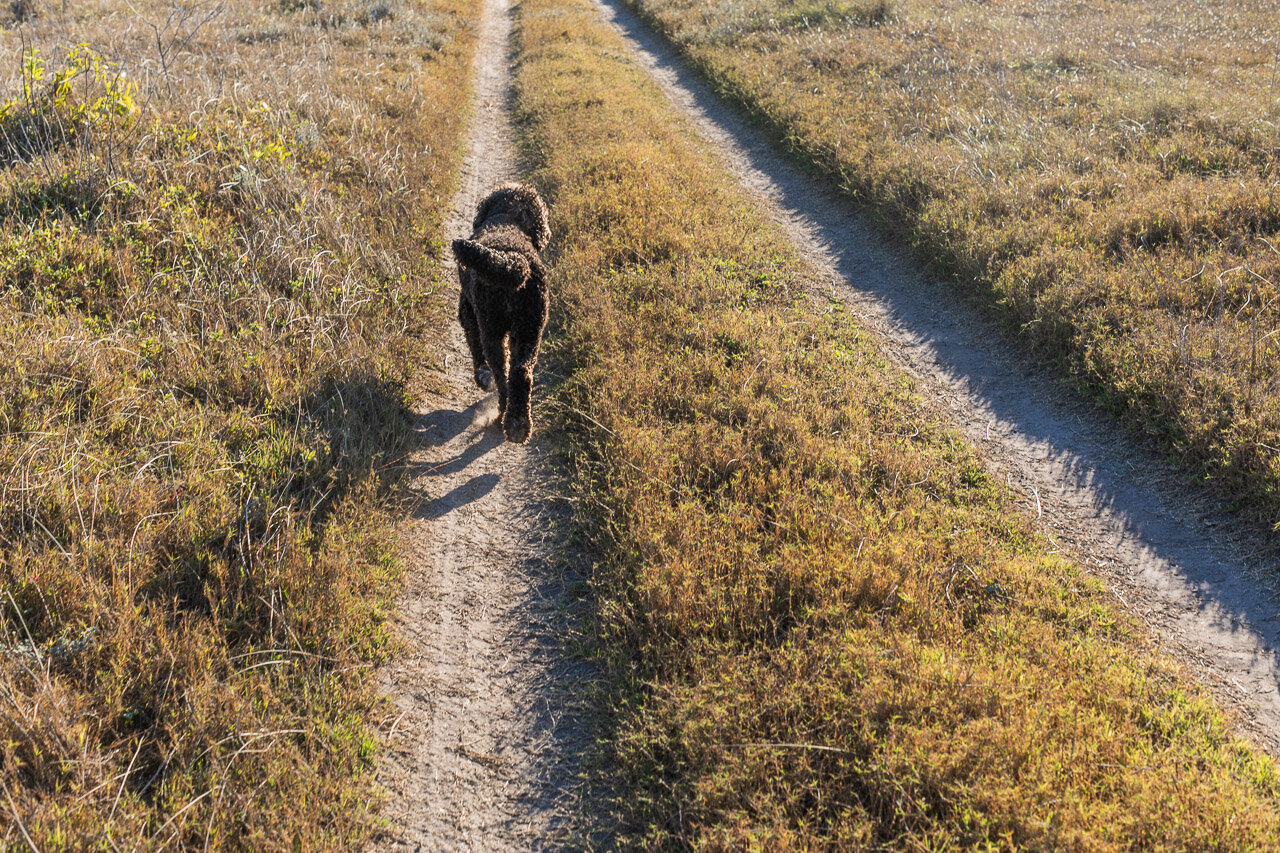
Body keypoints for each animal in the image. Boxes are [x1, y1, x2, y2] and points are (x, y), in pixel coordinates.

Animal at [450, 183, 550, 440]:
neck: (508, 217)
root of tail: (514, 262)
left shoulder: (468, 312)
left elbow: (475, 349)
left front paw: (481, 376)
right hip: (530, 330)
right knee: (521, 373)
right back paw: (518, 423)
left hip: (491, 328)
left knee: (502, 374)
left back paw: (502, 415)